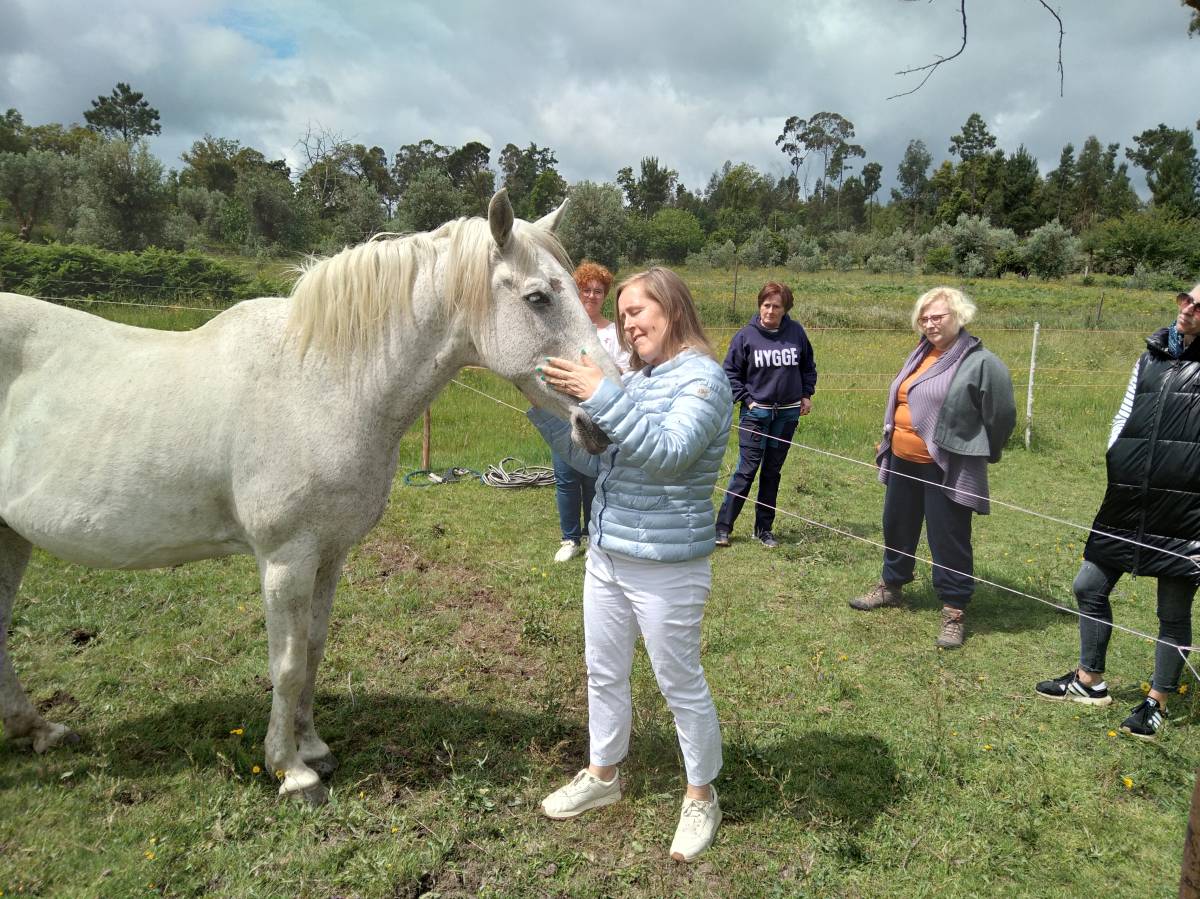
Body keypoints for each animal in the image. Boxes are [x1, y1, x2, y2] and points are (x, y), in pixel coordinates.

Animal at [0, 187, 619, 801]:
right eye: (538, 297)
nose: (603, 422)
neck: (321, 381)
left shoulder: (329, 553)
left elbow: (315, 647)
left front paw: (314, 747)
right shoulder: (286, 558)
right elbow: (289, 663)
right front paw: (290, 770)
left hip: (12, 538)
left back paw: (39, 731)